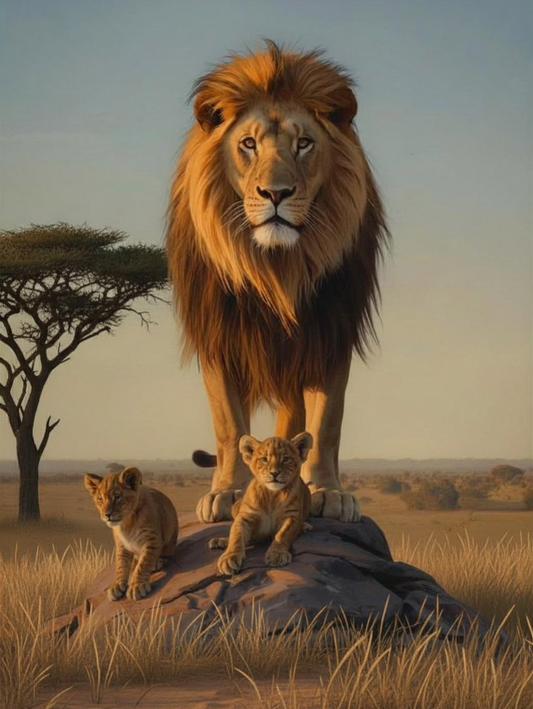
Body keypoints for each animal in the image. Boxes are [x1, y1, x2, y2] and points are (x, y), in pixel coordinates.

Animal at [84, 467, 178, 600]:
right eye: (100, 499)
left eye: (117, 497)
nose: (107, 514)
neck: (126, 522)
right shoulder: (121, 544)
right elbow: (121, 564)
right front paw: (117, 585)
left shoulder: (152, 539)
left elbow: (144, 563)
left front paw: (137, 587)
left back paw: (156, 562)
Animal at [166, 41, 389, 524]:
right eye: (248, 144)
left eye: (303, 144)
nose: (276, 194)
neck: (277, 267)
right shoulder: (218, 333)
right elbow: (229, 427)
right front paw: (227, 492)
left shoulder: (331, 330)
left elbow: (326, 424)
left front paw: (327, 491)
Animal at [209, 432, 313, 576]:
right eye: (264, 459)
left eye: (286, 459)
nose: (274, 473)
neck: (272, 495)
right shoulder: (245, 517)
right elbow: (236, 535)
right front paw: (229, 558)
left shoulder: (291, 517)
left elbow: (283, 534)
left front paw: (277, 554)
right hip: (235, 507)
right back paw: (220, 541)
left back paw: (305, 526)